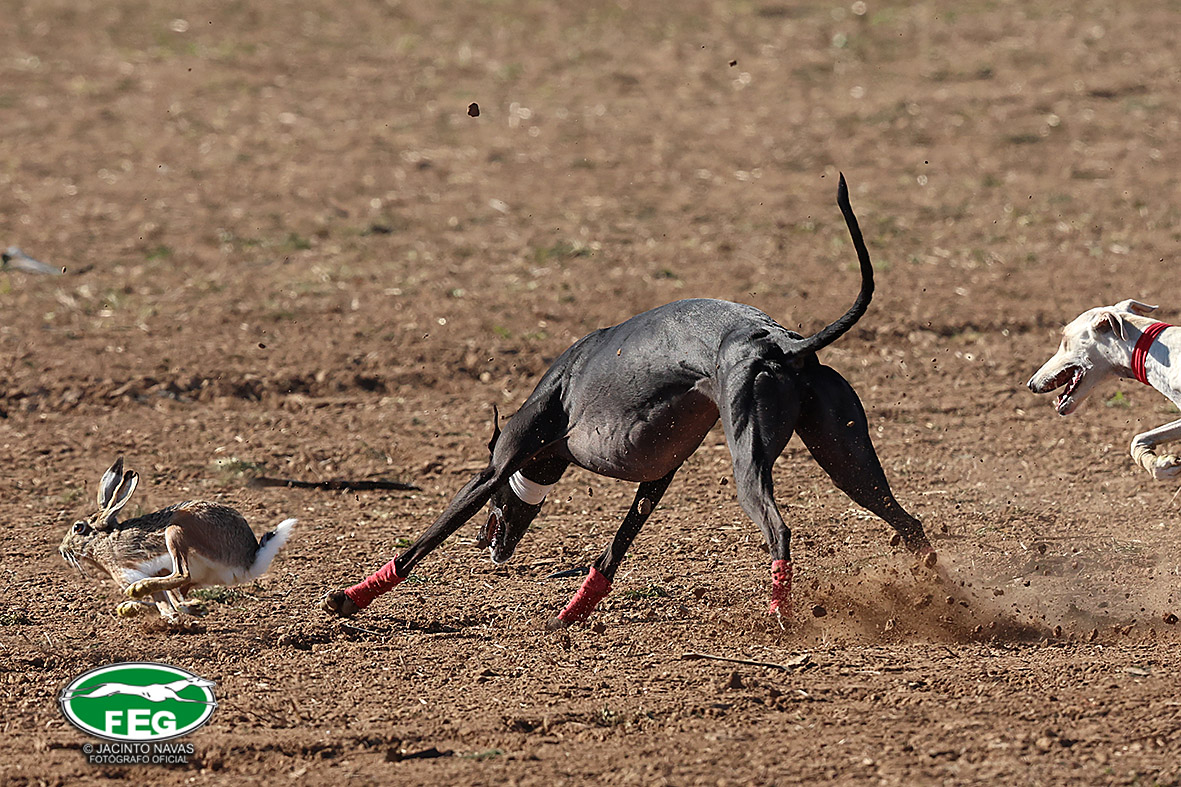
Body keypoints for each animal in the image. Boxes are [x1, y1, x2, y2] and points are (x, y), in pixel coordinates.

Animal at [59, 457, 296, 621]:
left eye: (78, 527)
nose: (62, 549)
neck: (102, 541)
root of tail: (248, 560)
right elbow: (169, 604)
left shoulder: (133, 571)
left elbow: (167, 605)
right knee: (180, 589)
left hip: (175, 532)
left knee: (182, 574)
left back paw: (140, 591)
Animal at [323, 174, 935, 628]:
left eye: (494, 499)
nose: (484, 546)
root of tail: (781, 343)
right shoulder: (656, 478)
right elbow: (613, 550)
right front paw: (569, 614)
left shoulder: (497, 468)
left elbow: (424, 539)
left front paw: (350, 597)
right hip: (848, 460)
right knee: (907, 521)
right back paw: (937, 592)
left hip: (752, 461)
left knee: (780, 531)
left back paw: (781, 614)